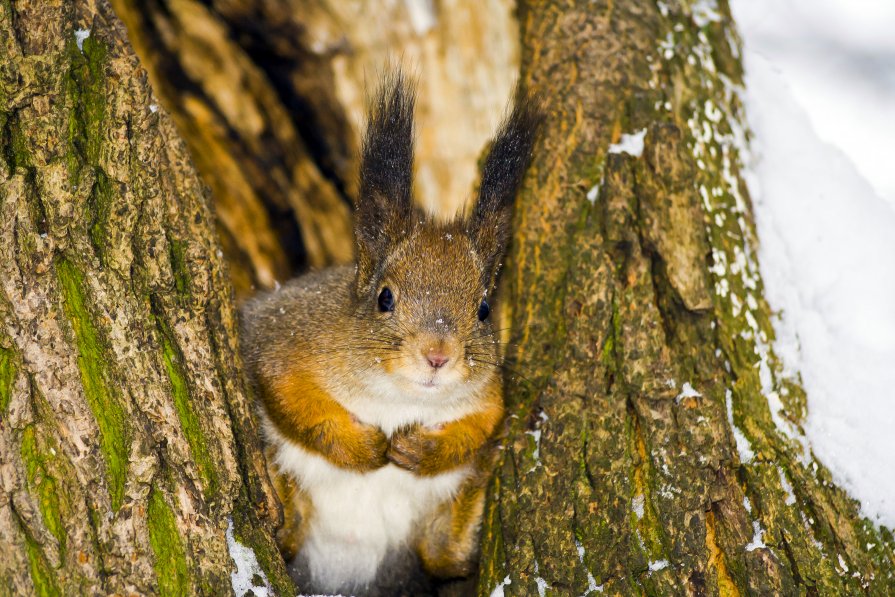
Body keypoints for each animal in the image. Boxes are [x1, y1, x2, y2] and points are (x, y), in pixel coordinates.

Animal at [238, 71, 544, 596]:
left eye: (484, 309)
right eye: (385, 298)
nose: (438, 356)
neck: (399, 399)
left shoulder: (488, 394)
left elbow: (484, 420)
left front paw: (422, 449)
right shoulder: (285, 334)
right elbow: (288, 395)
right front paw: (366, 447)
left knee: (444, 555)